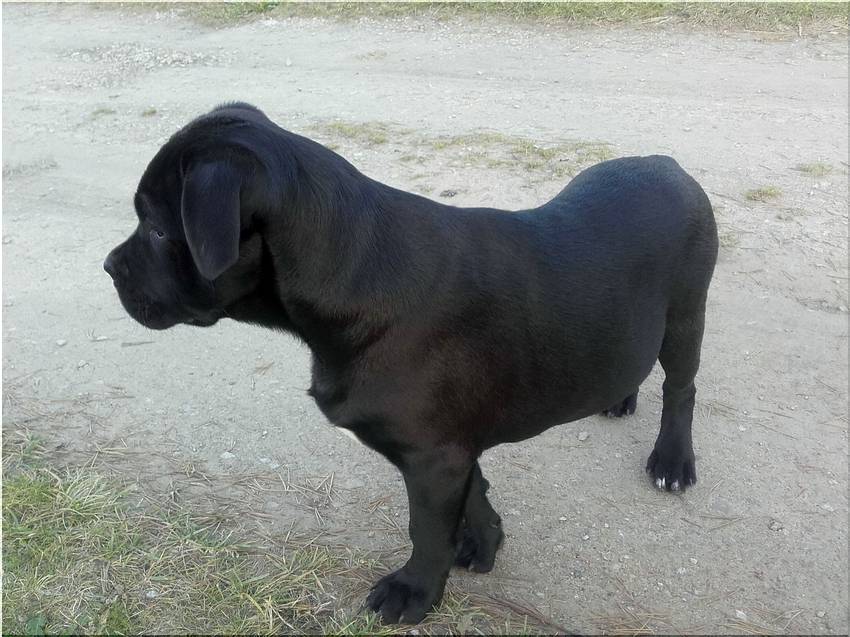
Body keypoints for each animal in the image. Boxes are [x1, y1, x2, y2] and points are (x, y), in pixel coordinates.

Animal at [105, 102, 718, 624]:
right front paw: (484, 540)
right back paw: (620, 397)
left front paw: (414, 591)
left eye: (157, 229)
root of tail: (668, 165)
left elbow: (426, 529)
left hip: (687, 312)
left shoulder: (432, 456)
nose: (109, 266)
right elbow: (474, 492)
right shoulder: (449, 448)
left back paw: (673, 459)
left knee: (681, 388)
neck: (355, 272)